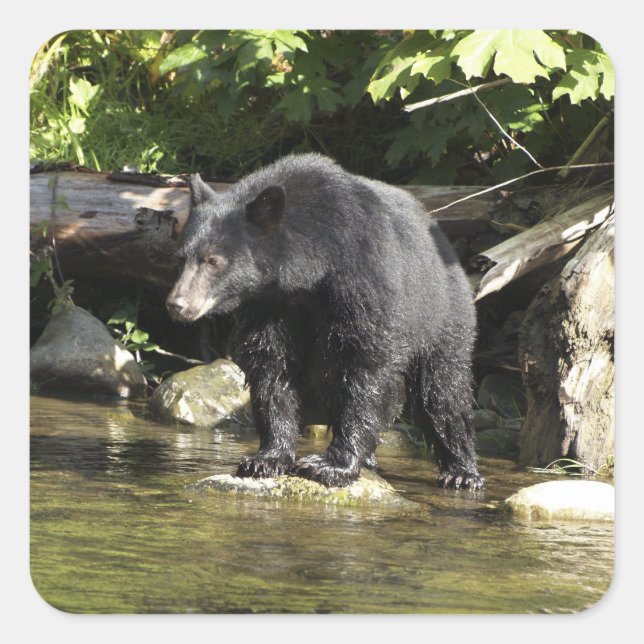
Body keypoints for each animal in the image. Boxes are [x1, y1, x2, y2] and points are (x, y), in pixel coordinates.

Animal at [166, 153, 483, 490]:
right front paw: (266, 458)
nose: (177, 305)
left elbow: (365, 366)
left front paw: (332, 465)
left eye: (213, 260)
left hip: (441, 315)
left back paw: (461, 471)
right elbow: (270, 365)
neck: (312, 268)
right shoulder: (271, 304)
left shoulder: (364, 279)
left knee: (442, 391)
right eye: (180, 257)